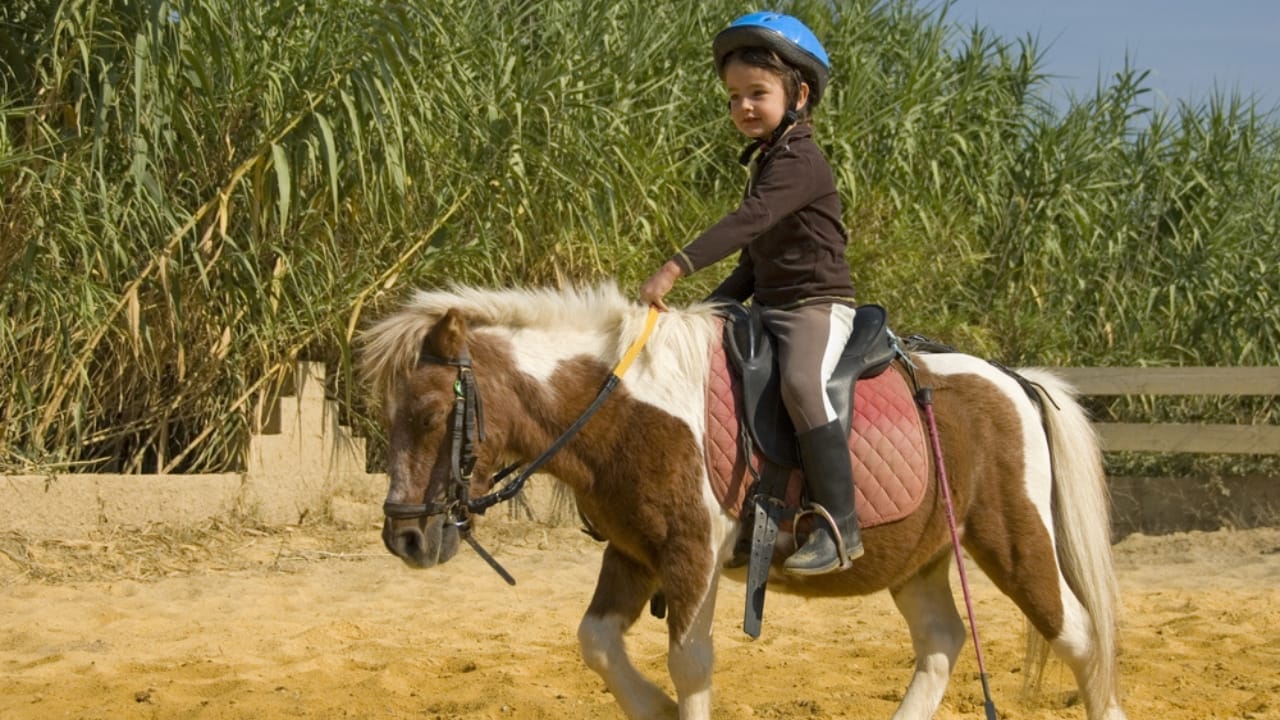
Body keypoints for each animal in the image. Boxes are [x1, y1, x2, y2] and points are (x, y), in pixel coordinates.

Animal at [359, 283, 1126, 720]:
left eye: (429, 414)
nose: (404, 538)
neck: (627, 404)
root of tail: (1011, 379)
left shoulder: (691, 556)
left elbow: (690, 665)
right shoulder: (634, 554)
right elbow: (597, 642)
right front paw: (654, 708)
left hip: (1015, 539)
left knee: (1082, 639)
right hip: (917, 557)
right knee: (941, 643)